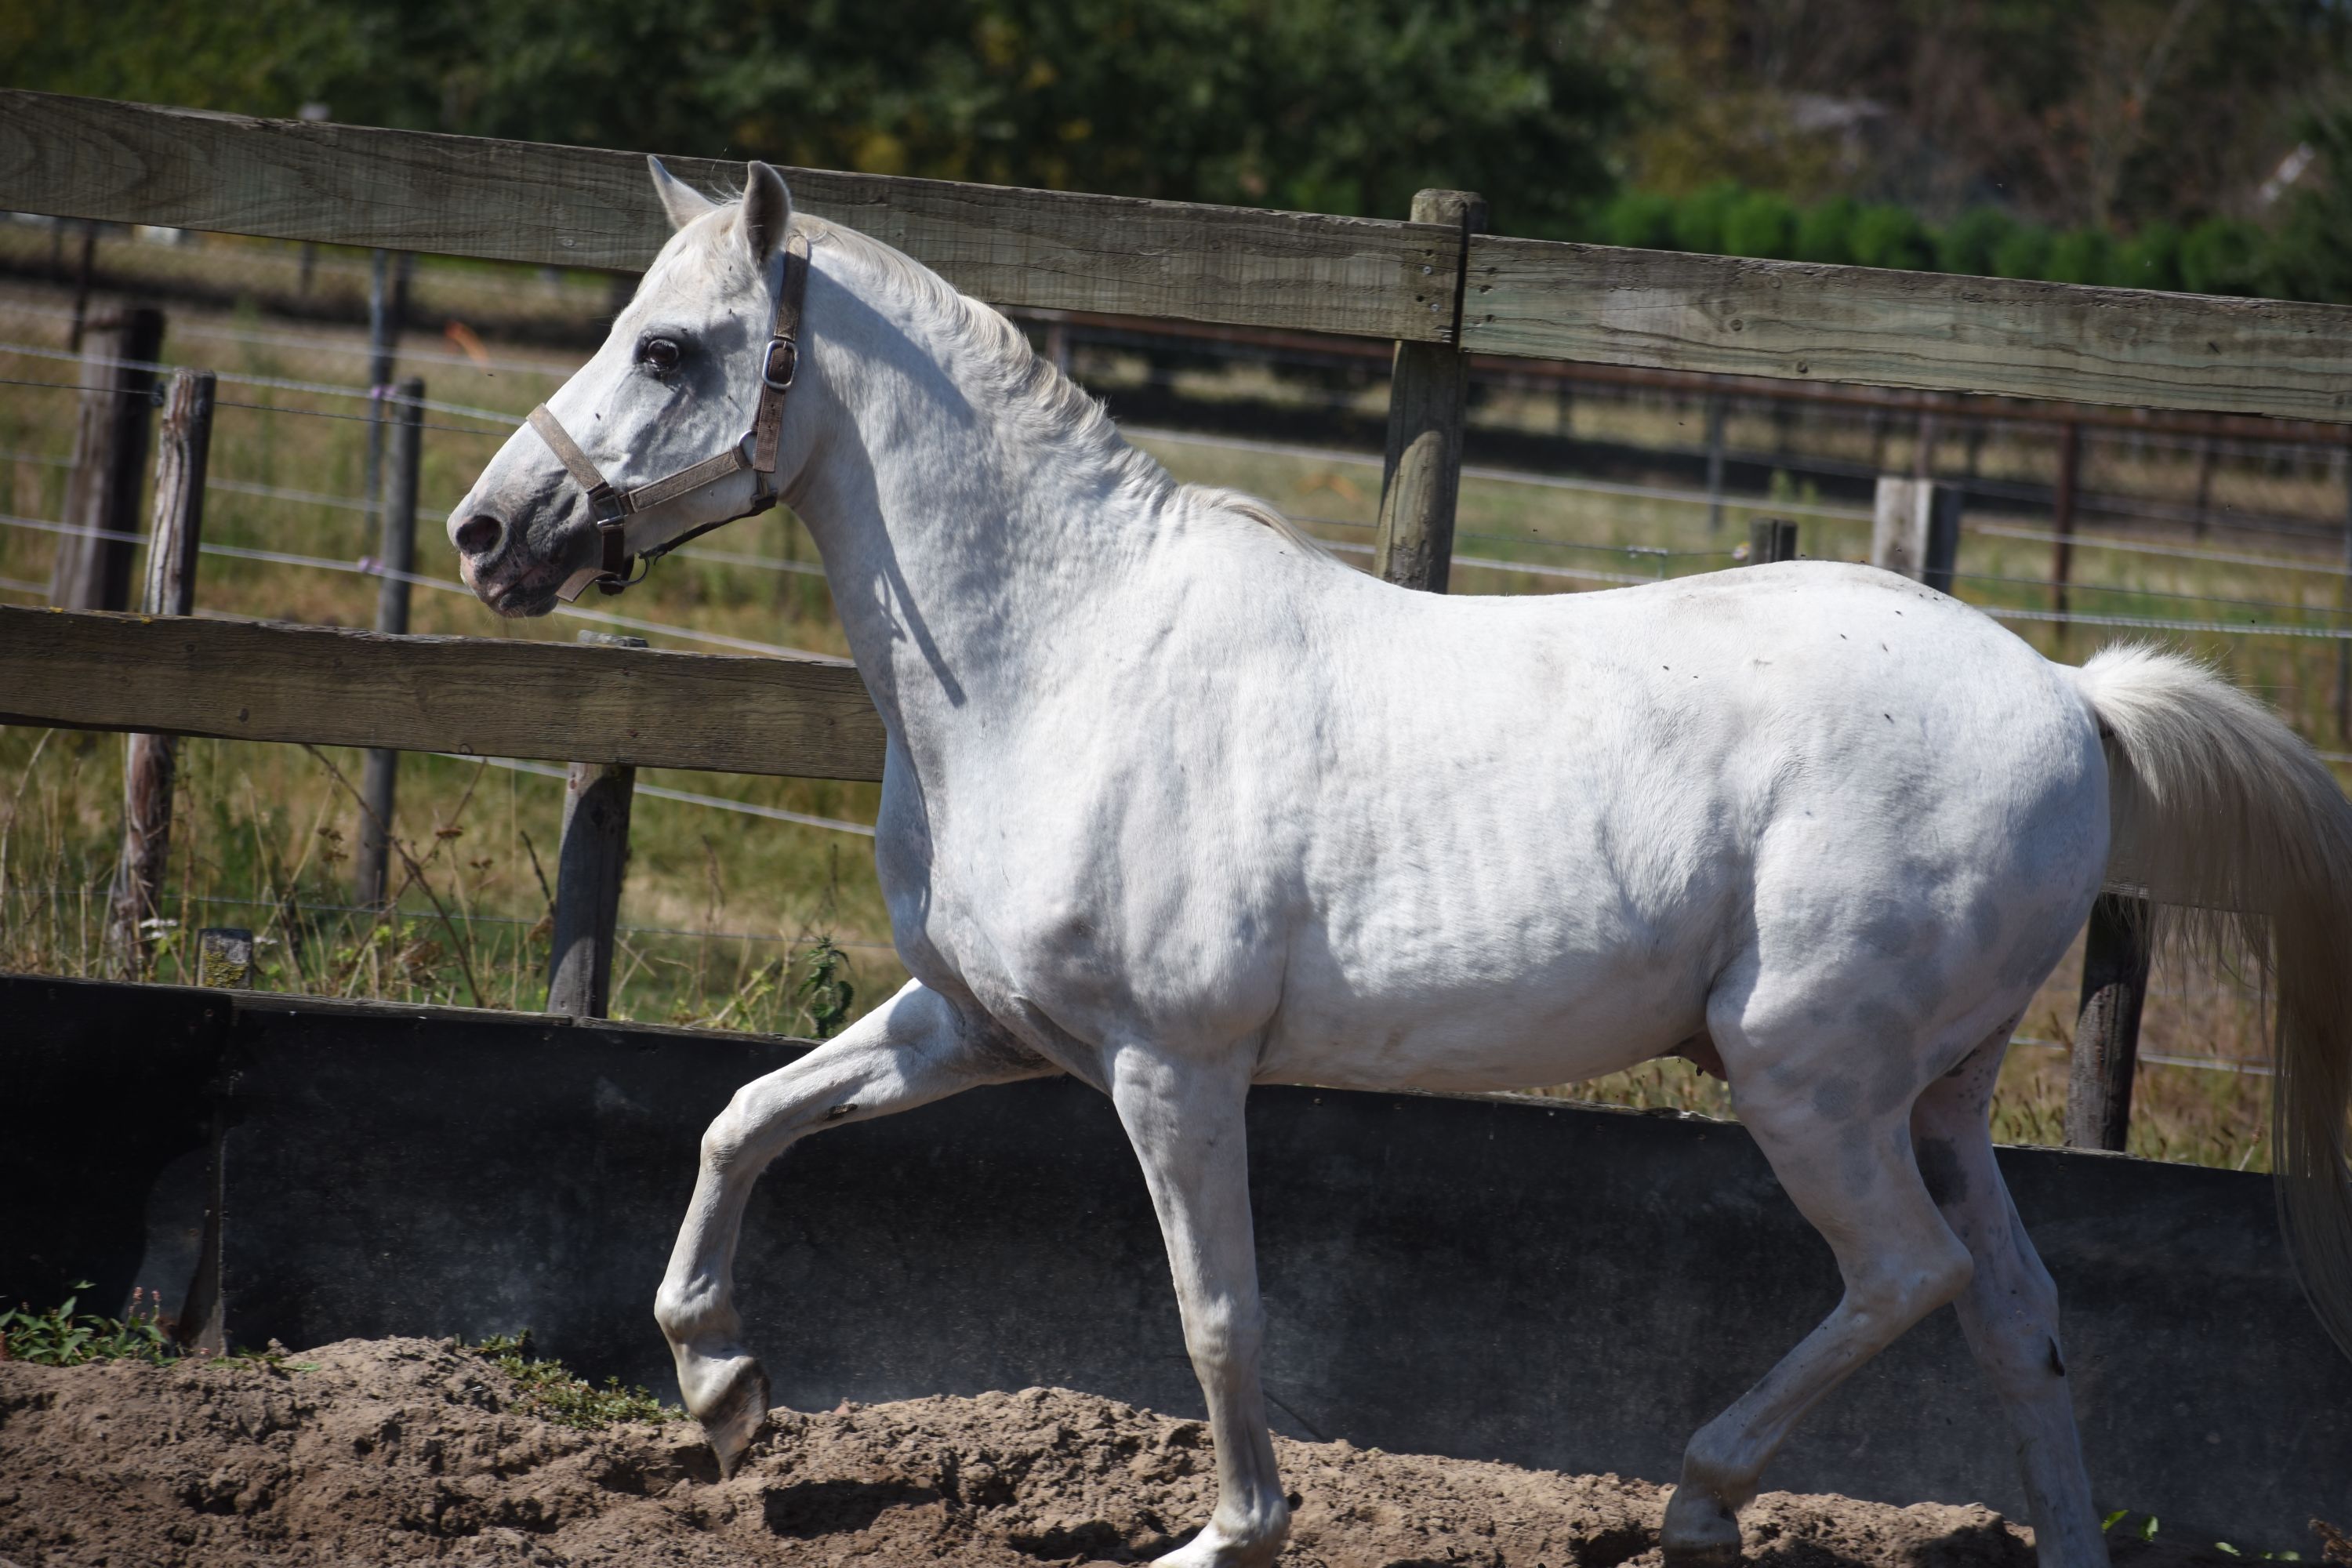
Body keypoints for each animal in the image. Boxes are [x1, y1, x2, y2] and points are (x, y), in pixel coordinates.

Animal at [448, 158, 2352, 1568]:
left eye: (673, 351)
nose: (487, 534)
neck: (1062, 656)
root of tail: (2071, 694)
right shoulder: (973, 1026)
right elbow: (742, 1120)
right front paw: (724, 1388)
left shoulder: (1171, 1065)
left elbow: (1218, 1308)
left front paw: (1229, 1535)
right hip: (1939, 1094)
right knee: (2018, 1310)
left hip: (1808, 1074)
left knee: (1908, 1278)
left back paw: (1695, 1498)